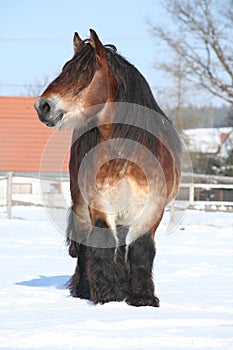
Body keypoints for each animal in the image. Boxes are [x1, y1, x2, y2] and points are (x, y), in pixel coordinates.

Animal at [34, 28, 181, 306]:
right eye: (65, 69)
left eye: (83, 73)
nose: (43, 106)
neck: (126, 156)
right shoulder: (100, 205)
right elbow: (101, 245)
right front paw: (108, 296)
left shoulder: (152, 210)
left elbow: (141, 250)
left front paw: (142, 298)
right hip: (81, 204)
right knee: (84, 243)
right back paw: (83, 289)